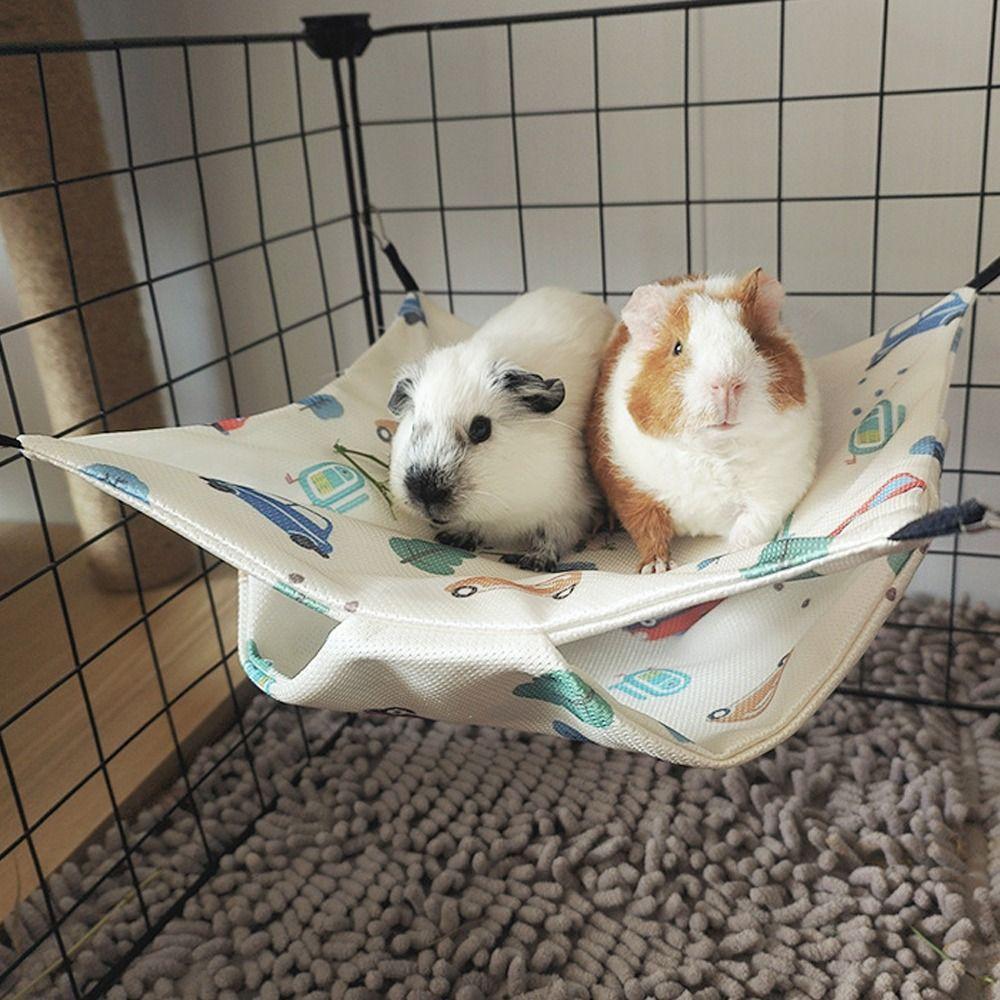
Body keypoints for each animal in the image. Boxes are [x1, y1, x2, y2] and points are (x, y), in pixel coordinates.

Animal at [388, 287, 616, 571]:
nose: (425, 492)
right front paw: (454, 538)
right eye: (414, 426)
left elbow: (551, 537)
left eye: (481, 429)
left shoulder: (567, 507)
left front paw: (533, 563)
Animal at [587, 269, 820, 574]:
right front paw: (657, 568)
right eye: (677, 348)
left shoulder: (779, 488)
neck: (715, 452)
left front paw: (733, 552)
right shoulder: (629, 486)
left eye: (754, 340)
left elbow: (754, 525)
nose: (727, 384)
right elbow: (648, 528)